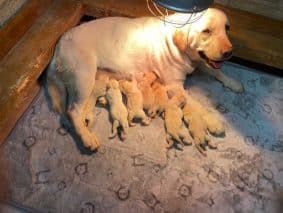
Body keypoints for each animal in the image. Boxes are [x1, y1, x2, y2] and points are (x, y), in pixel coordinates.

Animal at [46, 8, 244, 151]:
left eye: (227, 28)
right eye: (206, 31)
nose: (229, 52)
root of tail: (58, 45)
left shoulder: (201, 61)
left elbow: (216, 71)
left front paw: (233, 83)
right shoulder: (174, 85)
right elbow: (197, 103)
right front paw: (213, 122)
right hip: (84, 77)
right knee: (72, 111)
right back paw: (87, 137)